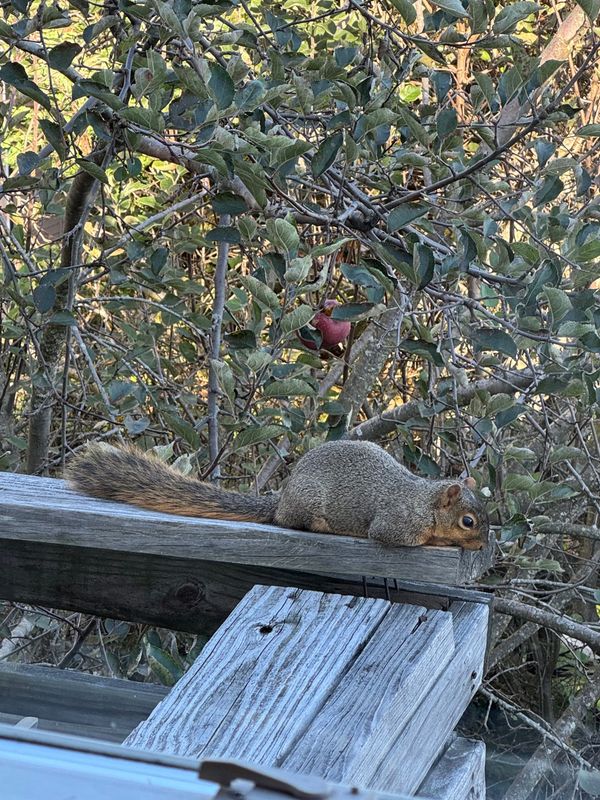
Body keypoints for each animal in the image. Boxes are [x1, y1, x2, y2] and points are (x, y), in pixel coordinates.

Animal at [66, 440, 489, 549]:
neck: (425, 500)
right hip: (306, 505)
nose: (484, 546)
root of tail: (282, 497)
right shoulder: (397, 522)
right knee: (294, 521)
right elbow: (394, 537)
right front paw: (445, 543)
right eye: (468, 522)